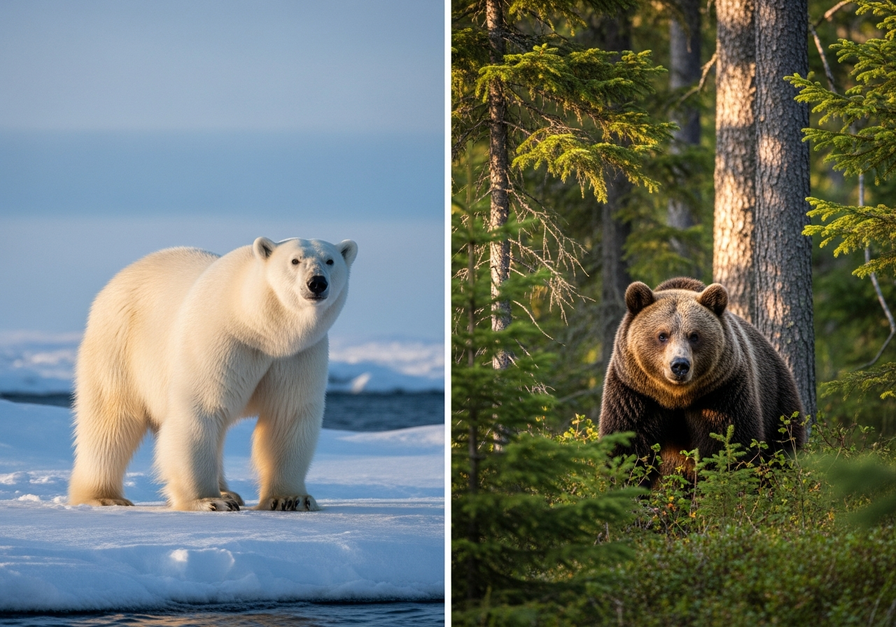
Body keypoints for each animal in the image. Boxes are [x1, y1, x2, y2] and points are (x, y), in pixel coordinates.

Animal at [68, 236, 358, 511]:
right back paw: (103, 497)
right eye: (295, 260)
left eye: (330, 260)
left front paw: (291, 498)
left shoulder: (298, 356)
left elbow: (288, 415)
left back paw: (229, 492)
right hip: (118, 344)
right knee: (111, 420)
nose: (317, 283)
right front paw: (208, 501)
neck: (260, 327)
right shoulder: (221, 340)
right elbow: (201, 411)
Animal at [599, 277, 805, 484]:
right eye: (662, 335)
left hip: (778, 402)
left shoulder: (722, 392)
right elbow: (627, 447)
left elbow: (729, 444)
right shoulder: (635, 395)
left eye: (694, 335)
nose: (679, 365)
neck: (675, 397)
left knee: (783, 447)